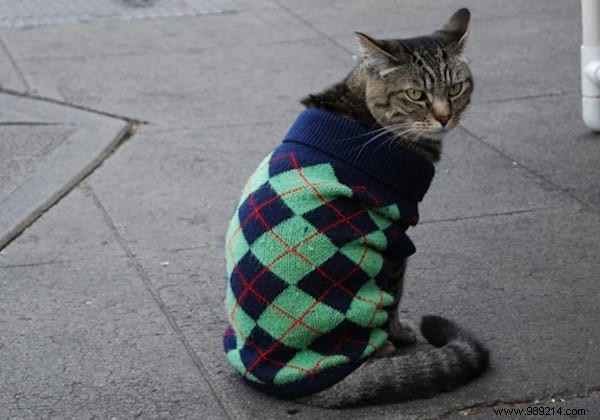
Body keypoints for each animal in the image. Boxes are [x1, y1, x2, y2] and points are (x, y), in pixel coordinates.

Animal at [223, 7, 490, 406]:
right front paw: (400, 333)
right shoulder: (395, 233)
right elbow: (396, 297)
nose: (445, 117)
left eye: (455, 88)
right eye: (415, 95)